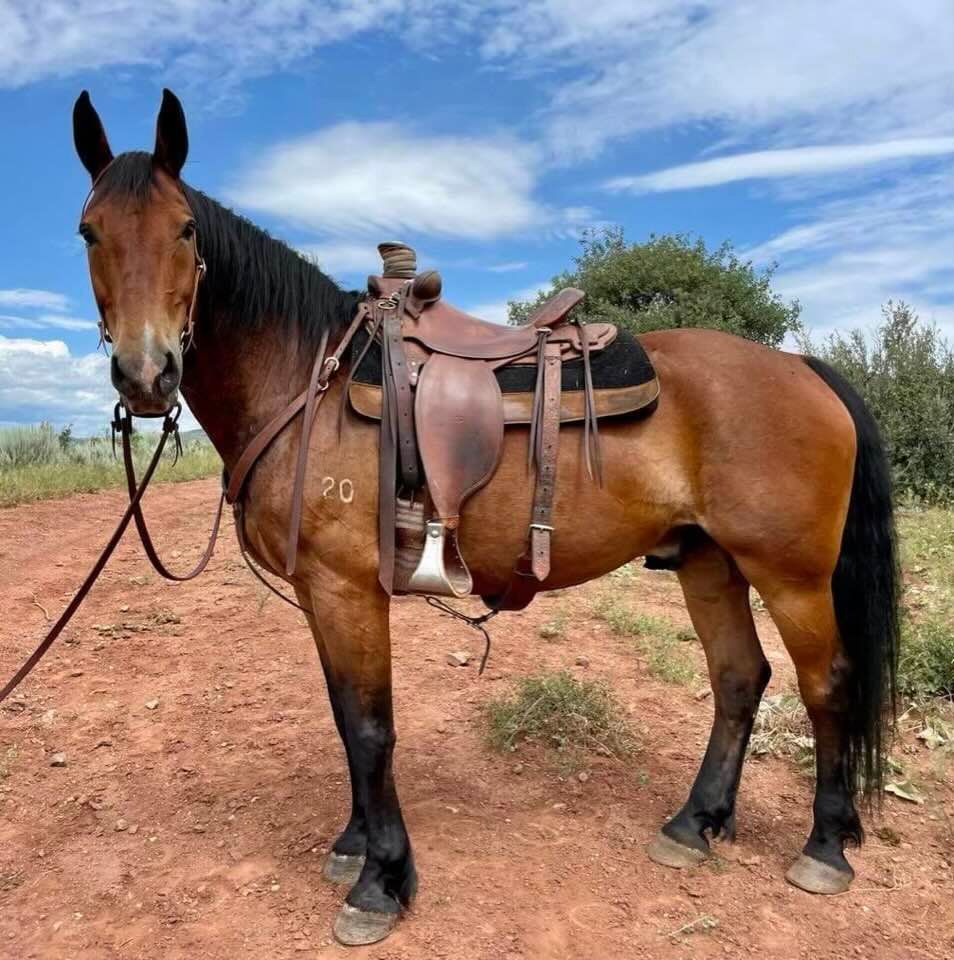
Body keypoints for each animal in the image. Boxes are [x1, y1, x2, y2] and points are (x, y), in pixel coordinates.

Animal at [69, 88, 898, 945]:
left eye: (185, 230)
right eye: (89, 231)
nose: (145, 373)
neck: (306, 384)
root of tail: (800, 367)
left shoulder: (347, 591)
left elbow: (370, 727)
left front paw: (381, 881)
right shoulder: (317, 594)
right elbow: (342, 717)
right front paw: (353, 844)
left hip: (791, 575)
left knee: (826, 684)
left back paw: (825, 846)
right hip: (708, 562)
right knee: (739, 677)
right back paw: (694, 823)